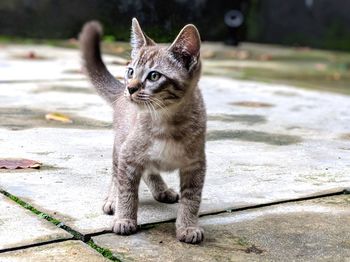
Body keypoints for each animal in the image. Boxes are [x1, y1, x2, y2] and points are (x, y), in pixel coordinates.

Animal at [79, 17, 205, 244]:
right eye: (130, 71)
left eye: (154, 76)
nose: (130, 88)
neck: (166, 121)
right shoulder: (128, 154)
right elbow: (126, 190)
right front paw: (125, 218)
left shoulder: (196, 164)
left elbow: (192, 198)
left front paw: (188, 226)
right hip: (120, 144)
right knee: (116, 174)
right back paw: (113, 200)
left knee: (149, 168)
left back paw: (161, 189)